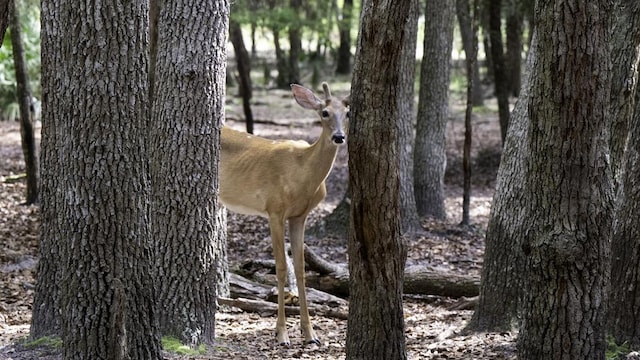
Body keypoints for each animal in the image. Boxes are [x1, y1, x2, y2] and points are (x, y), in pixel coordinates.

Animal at [220, 82, 350, 346]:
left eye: (348, 113)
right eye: (324, 113)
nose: (339, 136)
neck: (303, 173)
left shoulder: (299, 215)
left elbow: (300, 269)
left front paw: (310, 333)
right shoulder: (274, 209)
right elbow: (281, 268)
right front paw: (281, 333)